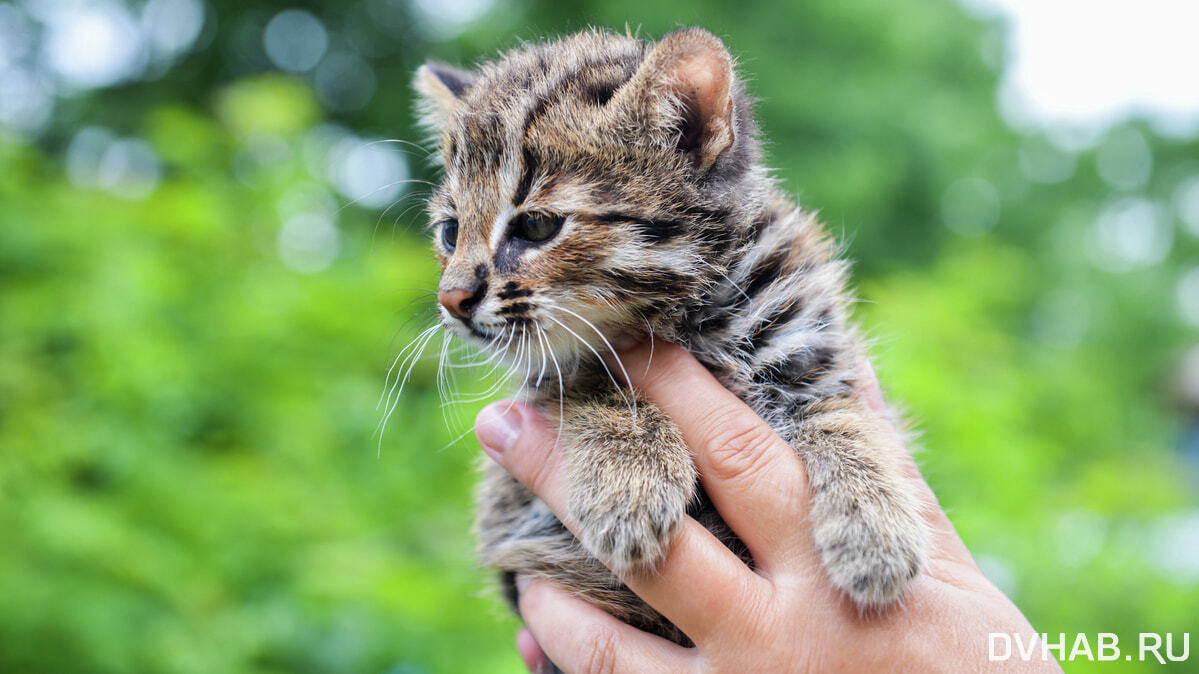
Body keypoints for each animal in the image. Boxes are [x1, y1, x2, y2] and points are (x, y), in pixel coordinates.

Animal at [412, 27, 925, 647]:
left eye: (536, 225)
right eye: (449, 232)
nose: (452, 299)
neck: (688, 314)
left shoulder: (814, 351)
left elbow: (847, 419)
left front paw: (876, 529)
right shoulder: (512, 506)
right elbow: (586, 379)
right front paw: (630, 482)